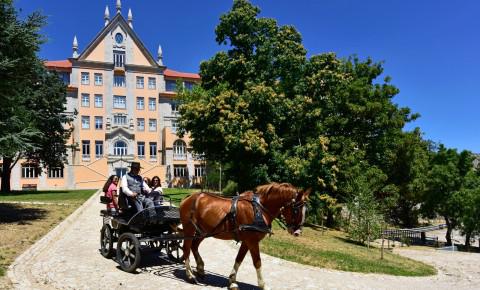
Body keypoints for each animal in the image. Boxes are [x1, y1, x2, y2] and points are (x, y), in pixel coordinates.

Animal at [180, 182, 312, 288]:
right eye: (296, 210)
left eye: (306, 210)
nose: (298, 232)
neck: (259, 210)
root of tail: (188, 198)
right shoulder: (252, 241)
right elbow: (257, 262)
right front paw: (262, 284)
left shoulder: (246, 241)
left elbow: (239, 259)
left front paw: (232, 281)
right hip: (189, 229)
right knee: (186, 248)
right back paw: (190, 275)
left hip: (203, 231)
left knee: (194, 246)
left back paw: (200, 269)